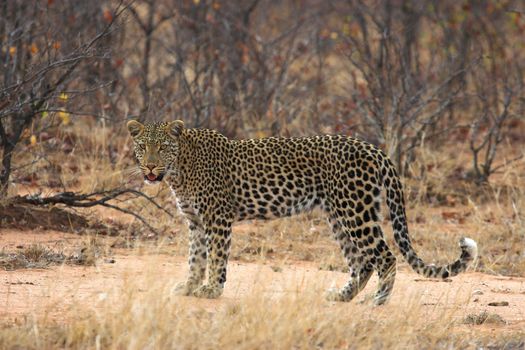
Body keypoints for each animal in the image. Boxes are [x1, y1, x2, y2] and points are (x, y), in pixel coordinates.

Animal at [128, 119, 478, 304]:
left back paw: (377, 301)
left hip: (356, 212)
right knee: (362, 262)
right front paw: (189, 286)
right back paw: (342, 296)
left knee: (385, 256)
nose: (150, 167)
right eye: (143, 147)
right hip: (339, 216)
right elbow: (195, 257)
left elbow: (215, 258)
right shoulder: (196, 222)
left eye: (163, 147)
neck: (179, 170)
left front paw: (211, 289)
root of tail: (374, 149)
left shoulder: (218, 220)